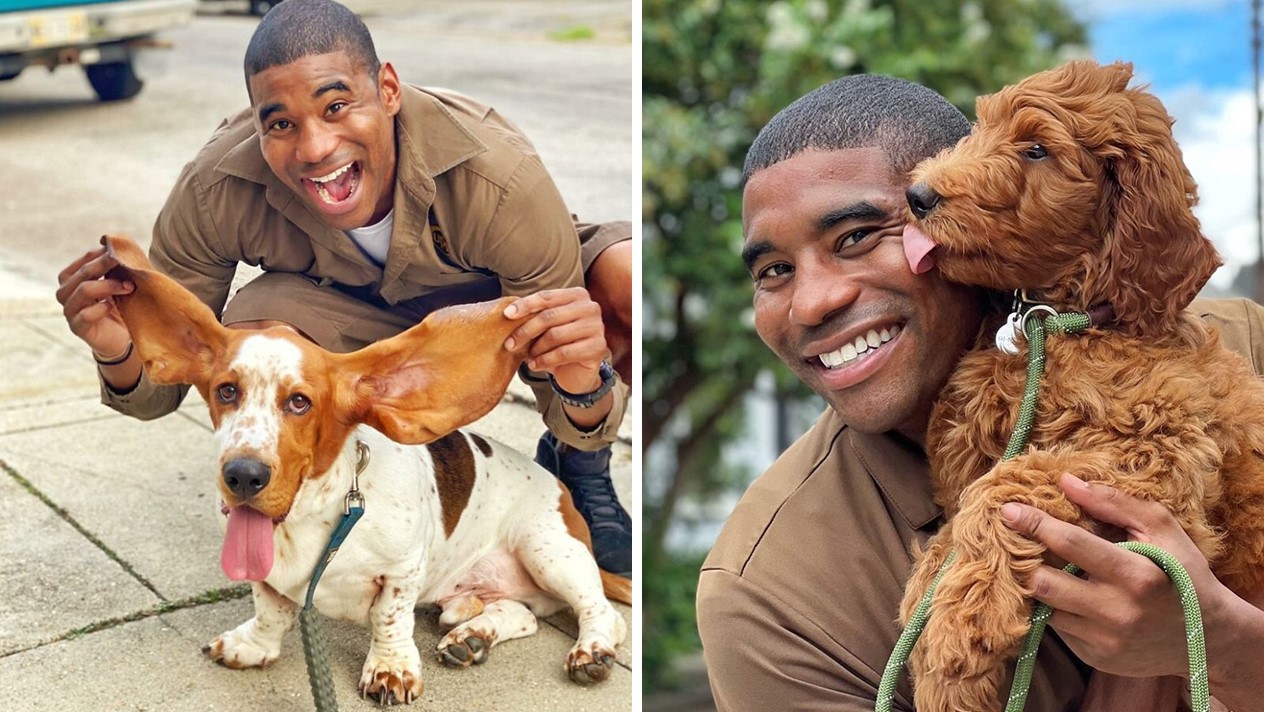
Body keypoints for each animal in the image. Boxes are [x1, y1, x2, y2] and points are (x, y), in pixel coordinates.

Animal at [101, 236, 629, 703]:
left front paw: (390, 669)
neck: (310, 518)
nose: (243, 476)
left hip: (550, 551)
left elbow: (389, 619)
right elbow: (270, 609)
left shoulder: (403, 570)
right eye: (226, 391)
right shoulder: (266, 576)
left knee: (603, 613)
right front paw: (253, 646)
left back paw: (591, 650)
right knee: (522, 615)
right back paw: (472, 635)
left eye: (300, 402)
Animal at [899, 61, 1264, 712]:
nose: (917, 195)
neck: (1058, 321)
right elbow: (949, 532)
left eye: (1037, 149)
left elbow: (1006, 485)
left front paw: (956, 635)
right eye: (982, 127)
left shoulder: (1159, 450)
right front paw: (933, 628)